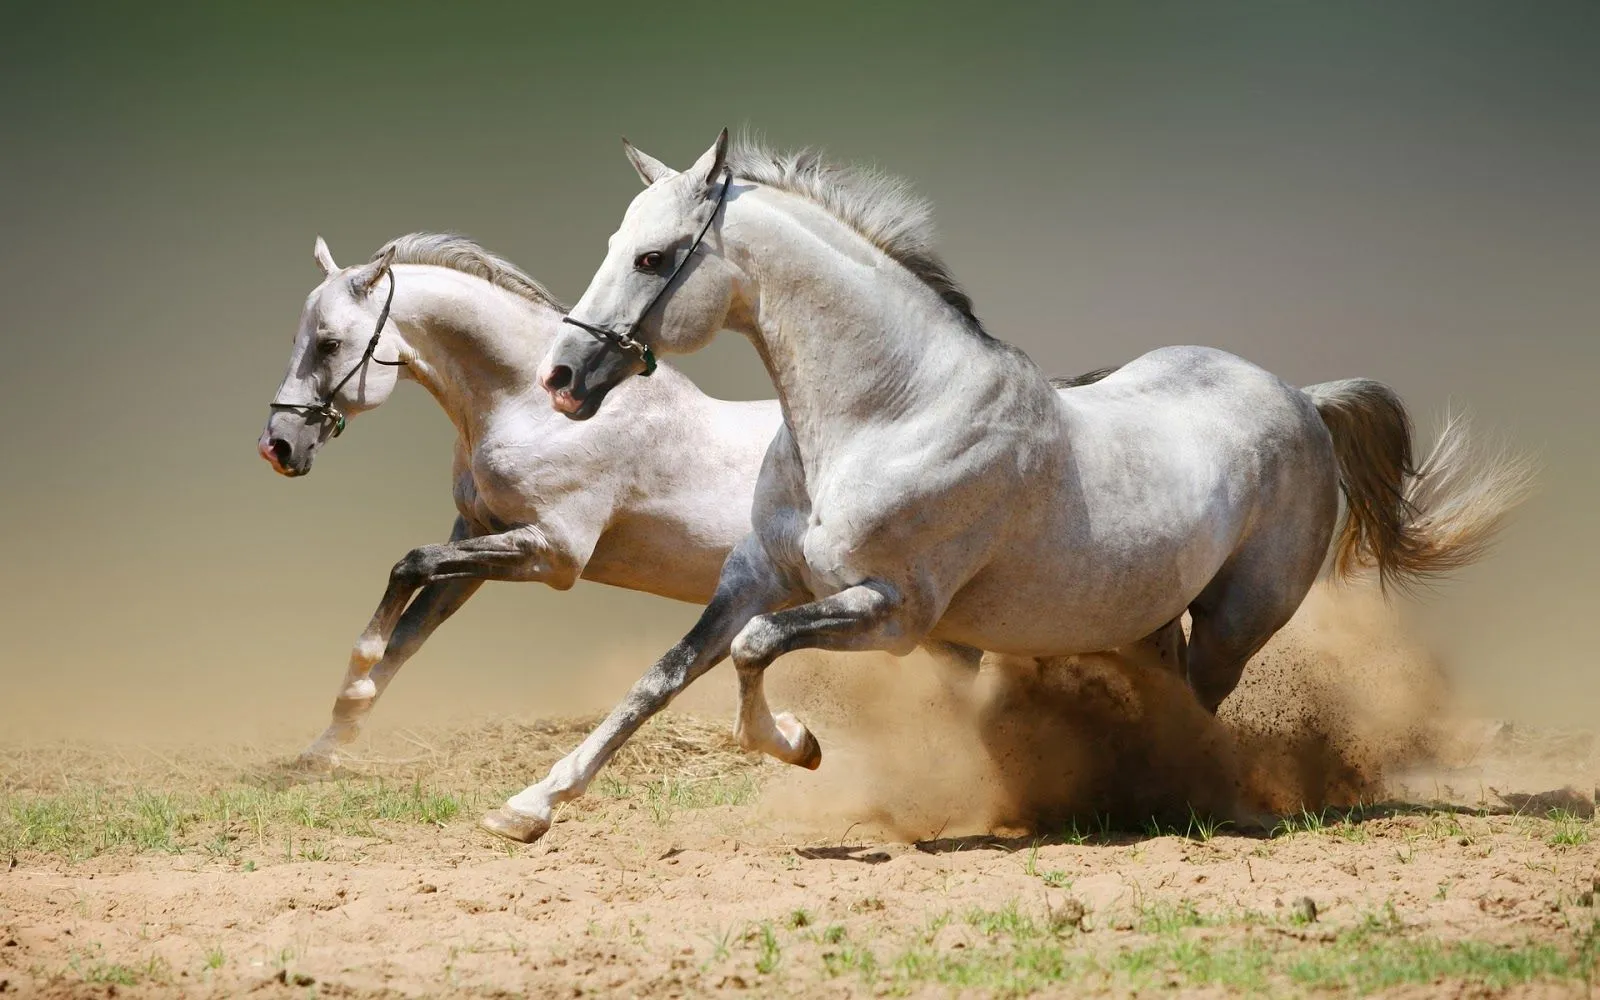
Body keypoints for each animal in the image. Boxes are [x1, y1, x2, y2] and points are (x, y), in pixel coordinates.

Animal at [489, 126, 1536, 844]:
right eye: (617, 242)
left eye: (654, 257)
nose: (562, 379)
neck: (889, 411)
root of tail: (1302, 400)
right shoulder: (757, 576)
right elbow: (661, 678)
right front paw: (529, 806)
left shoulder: (894, 612)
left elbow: (752, 653)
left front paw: (800, 744)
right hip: (1145, 617)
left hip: (1237, 621)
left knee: (1200, 708)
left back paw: (1182, 796)